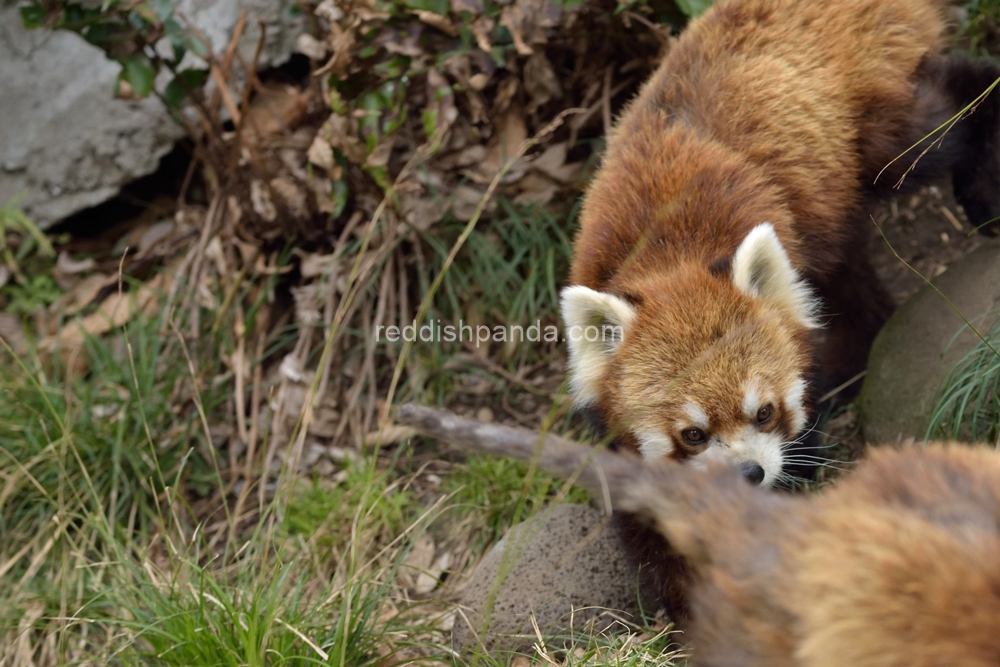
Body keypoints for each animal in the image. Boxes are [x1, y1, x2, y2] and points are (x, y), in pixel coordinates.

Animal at [560, 0, 1000, 624]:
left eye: (764, 411)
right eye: (692, 434)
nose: (751, 473)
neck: (673, 253)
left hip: (870, 123)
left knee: (945, 115)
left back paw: (984, 180)